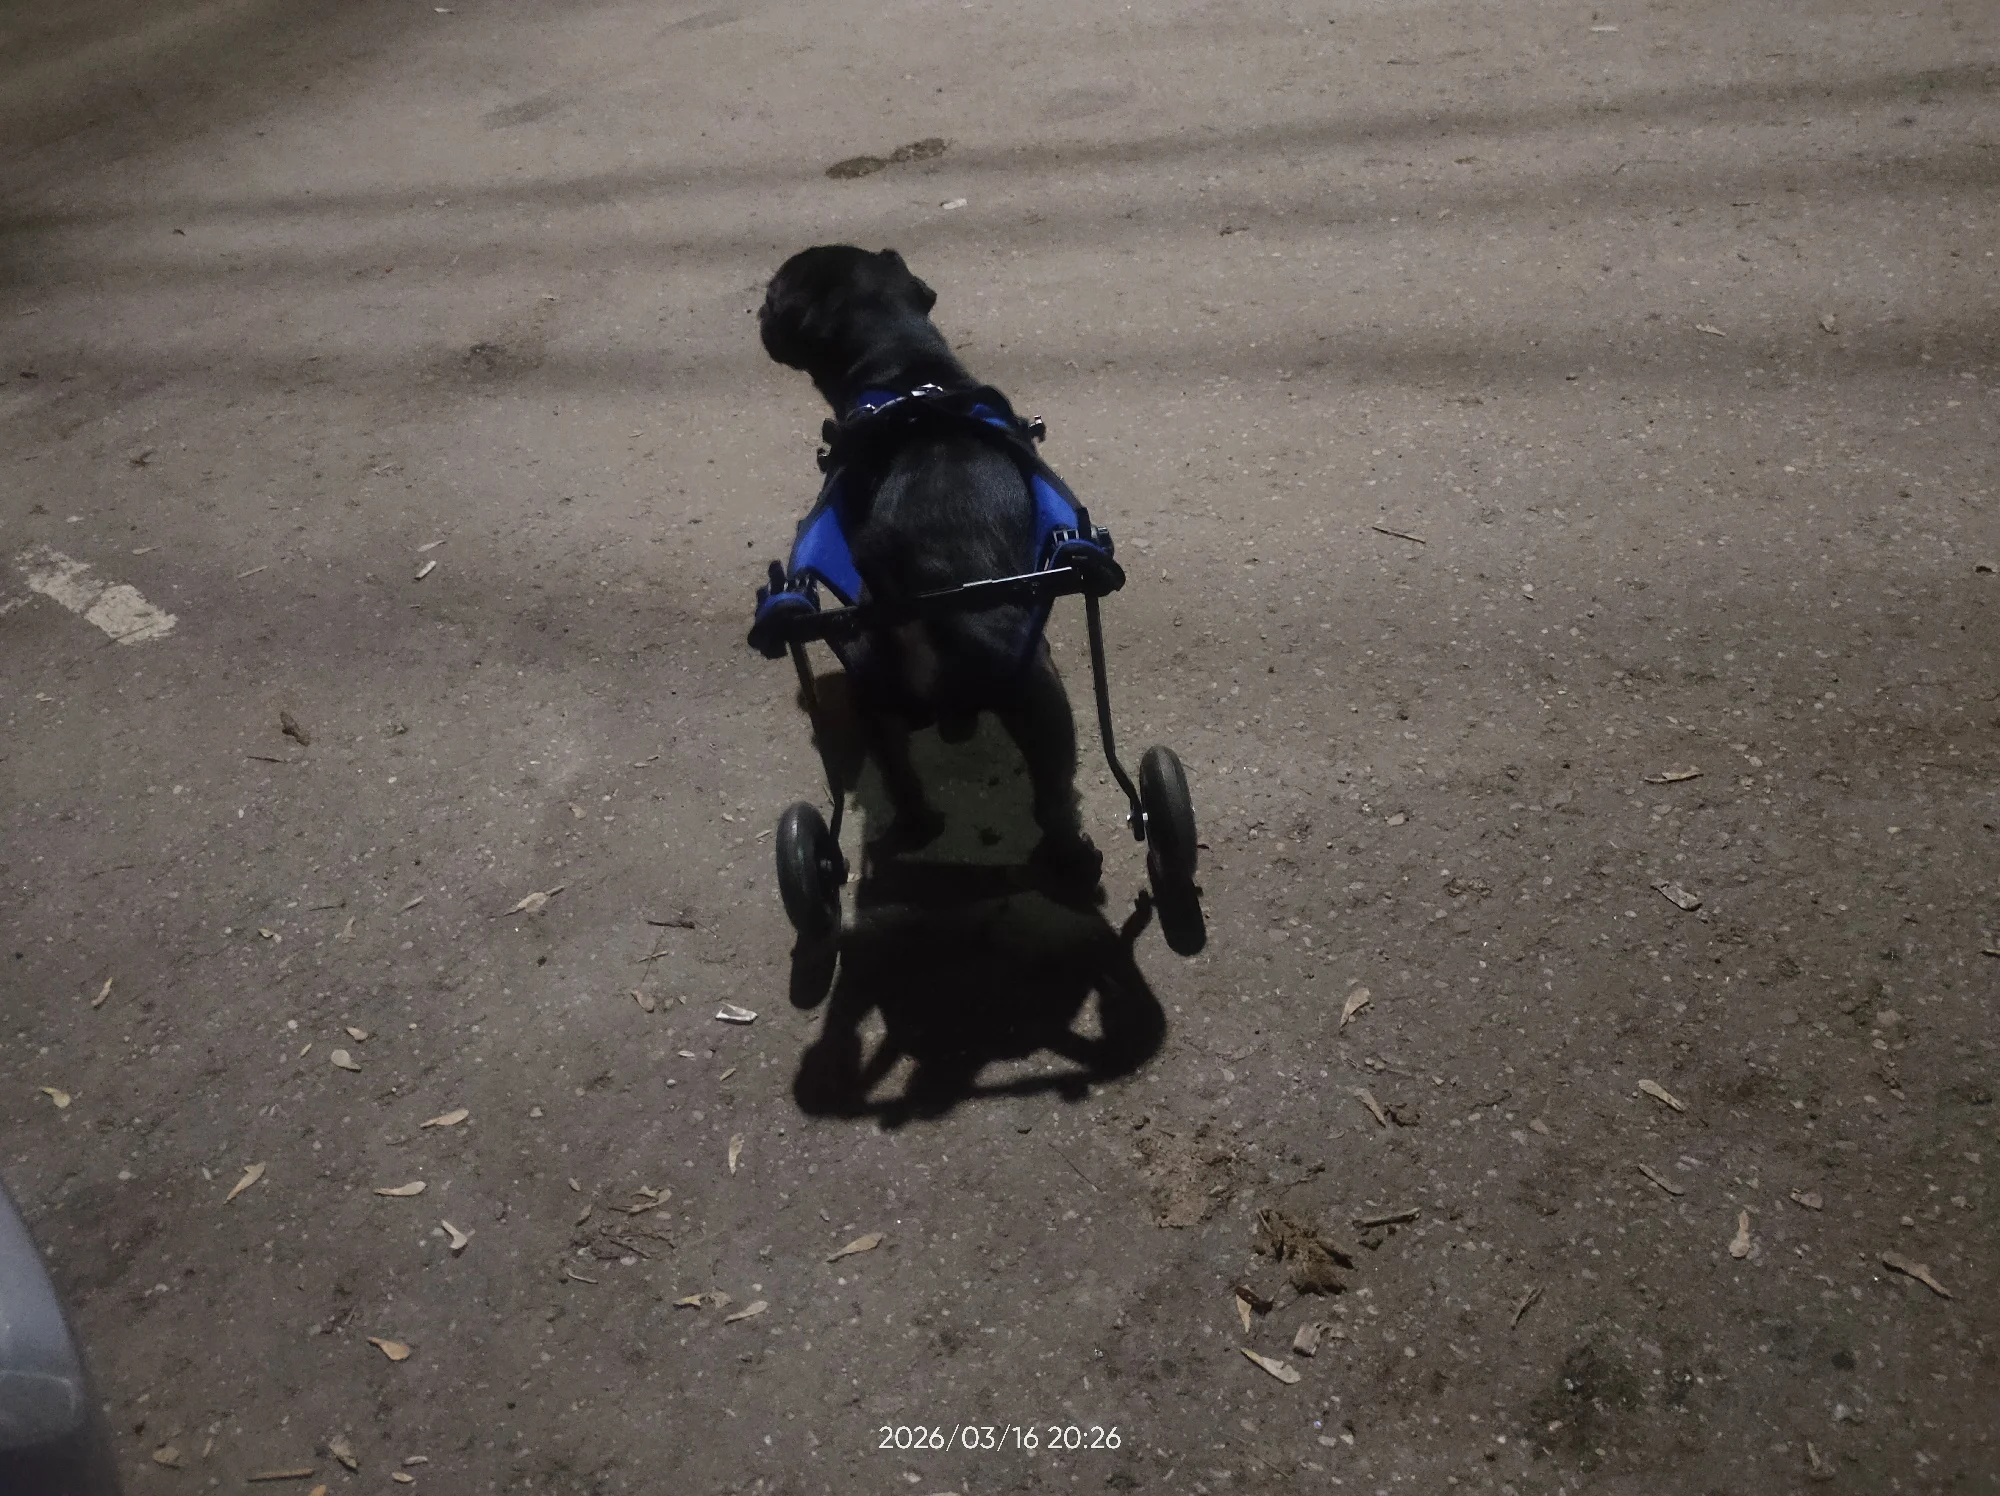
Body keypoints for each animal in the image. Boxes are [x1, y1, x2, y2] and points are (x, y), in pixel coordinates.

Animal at [758, 245, 1102, 886]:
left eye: (773, 298)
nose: (758, 312)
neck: (906, 373)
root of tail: (927, 591)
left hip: (878, 702)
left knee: (904, 784)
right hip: (1041, 693)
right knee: (1052, 800)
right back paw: (1075, 859)